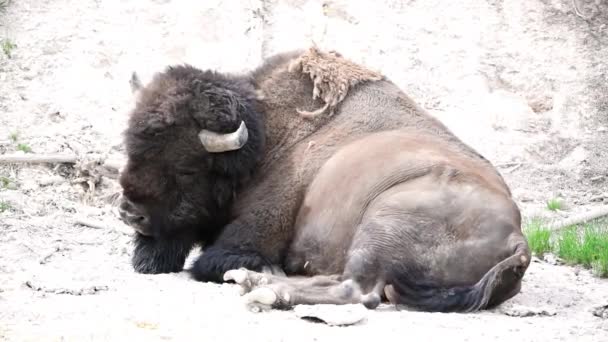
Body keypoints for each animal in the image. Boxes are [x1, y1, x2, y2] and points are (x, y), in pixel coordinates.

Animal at [116, 47, 528, 312]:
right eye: (131, 148)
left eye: (186, 167)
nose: (130, 213)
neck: (266, 136)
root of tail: (519, 240)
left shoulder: (256, 230)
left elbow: (214, 259)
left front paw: (256, 269)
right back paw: (257, 280)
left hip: (383, 223)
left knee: (357, 290)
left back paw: (263, 288)